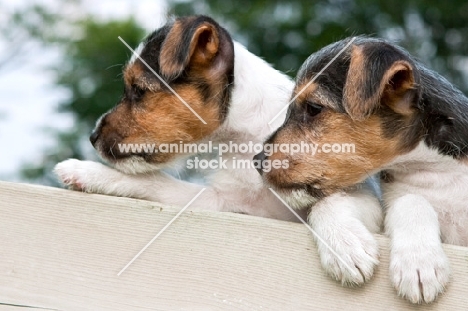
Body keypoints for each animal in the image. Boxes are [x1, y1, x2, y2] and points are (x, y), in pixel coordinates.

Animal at [55, 16, 384, 286]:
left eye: (138, 90)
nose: (93, 137)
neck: (247, 139)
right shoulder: (226, 205)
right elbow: (155, 182)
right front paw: (85, 171)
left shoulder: (361, 193)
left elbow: (328, 202)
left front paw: (343, 247)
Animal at [258, 35, 468, 304]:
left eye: (314, 108)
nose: (256, 160)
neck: (434, 170)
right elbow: (407, 200)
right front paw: (347, 246)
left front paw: (419, 262)